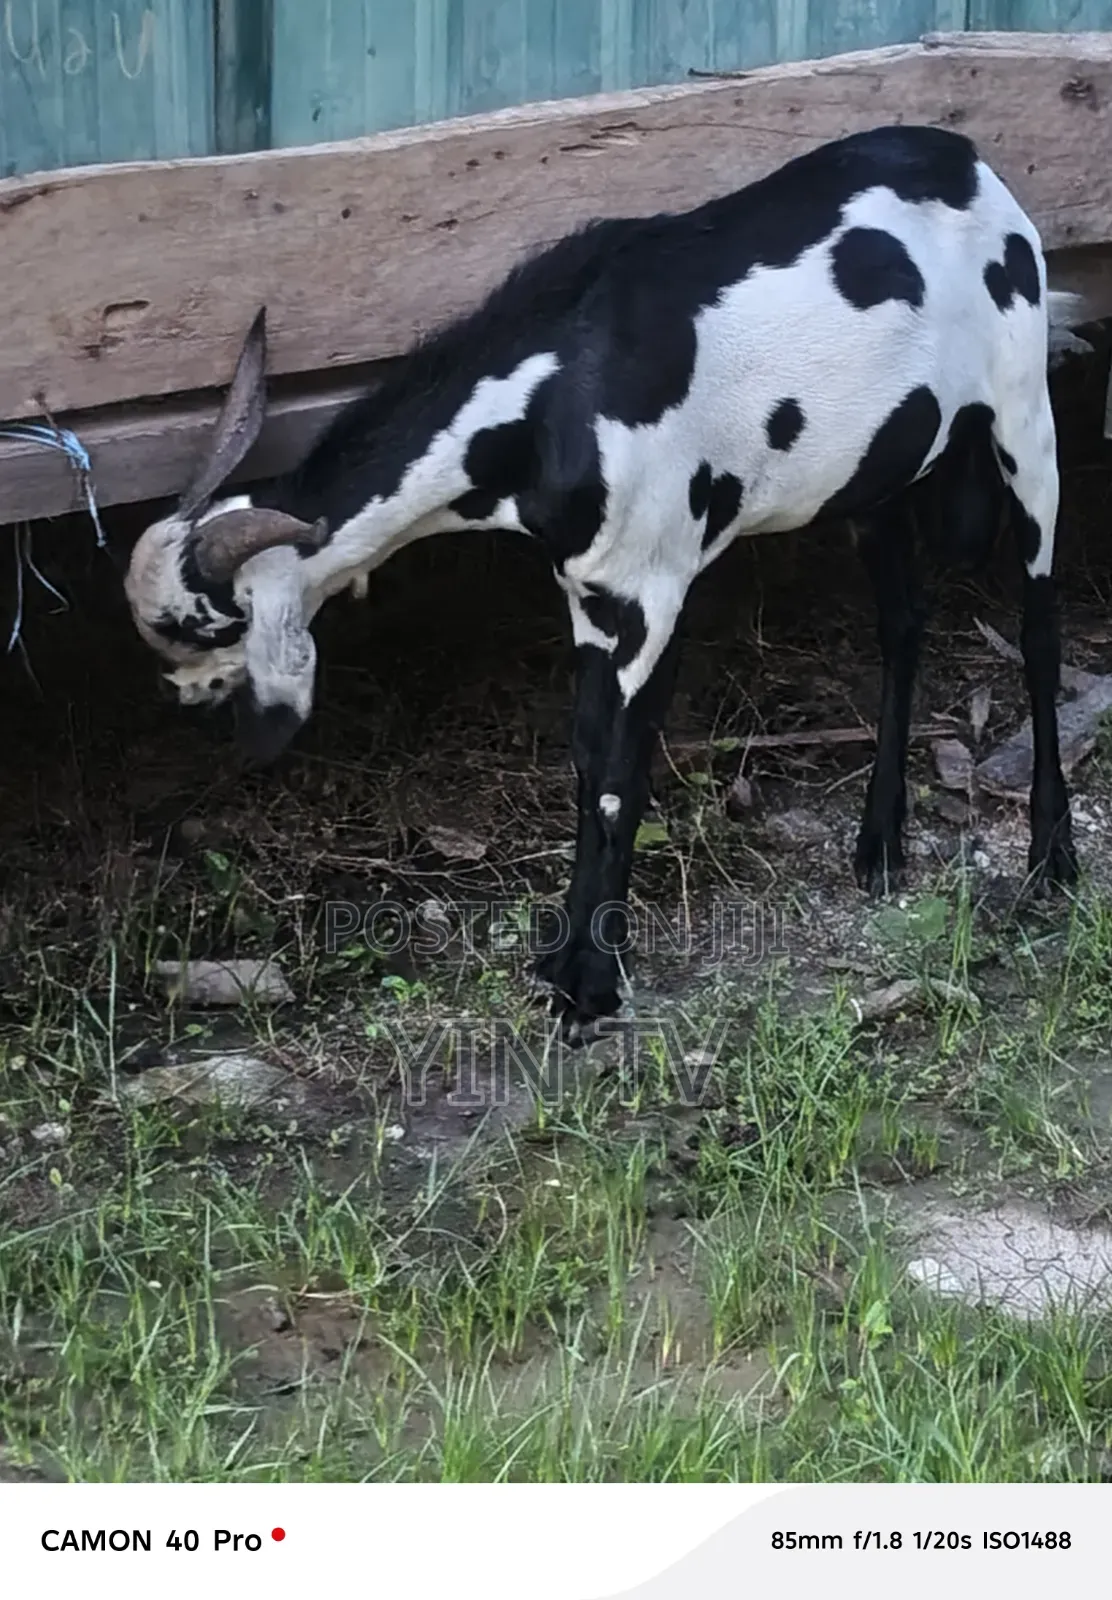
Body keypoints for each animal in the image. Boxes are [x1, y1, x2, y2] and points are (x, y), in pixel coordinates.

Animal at [125, 124, 1081, 1033]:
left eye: (205, 627)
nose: (182, 700)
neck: (558, 398)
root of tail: (966, 161)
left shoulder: (654, 590)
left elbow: (624, 772)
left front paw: (591, 982)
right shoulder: (590, 595)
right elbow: (588, 759)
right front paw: (562, 960)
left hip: (1024, 414)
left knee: (1038, 628)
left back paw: (1052, 860)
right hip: (875, 474)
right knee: (903, 625)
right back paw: (880, 842)